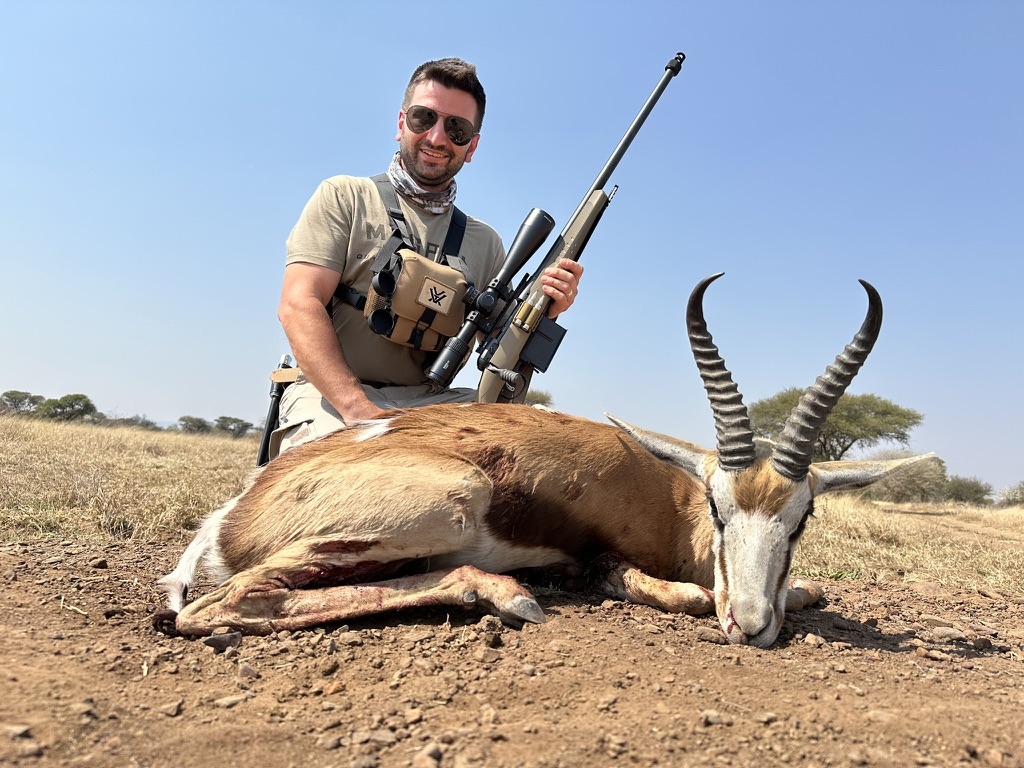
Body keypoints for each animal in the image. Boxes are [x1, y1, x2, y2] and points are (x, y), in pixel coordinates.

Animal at [157, 273, 931, 648]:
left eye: (802, 520)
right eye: (718, 506)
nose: (751, 623)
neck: (670, 498)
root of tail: (228, 520)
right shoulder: (608, 561)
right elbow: (681, 593)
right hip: (447, 500)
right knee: (221, 605)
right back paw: (509, 595)